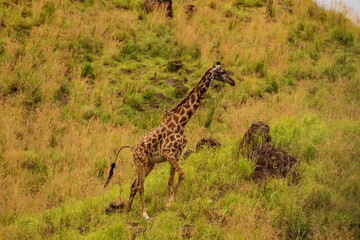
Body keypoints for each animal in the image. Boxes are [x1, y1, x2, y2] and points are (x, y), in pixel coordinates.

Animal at [104, 62, 235, 220]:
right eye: (222, 72)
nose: (233, 82)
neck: (182, 122)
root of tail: (132, 147)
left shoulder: (176, 154)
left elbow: (170, 179)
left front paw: (168, 204)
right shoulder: (167, 152)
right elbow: (182, 174)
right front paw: (171, 201)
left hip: (149, 165)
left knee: (133, 185)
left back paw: (127, 212)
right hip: (140, 163)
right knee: (140, 186)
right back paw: (145, 214)